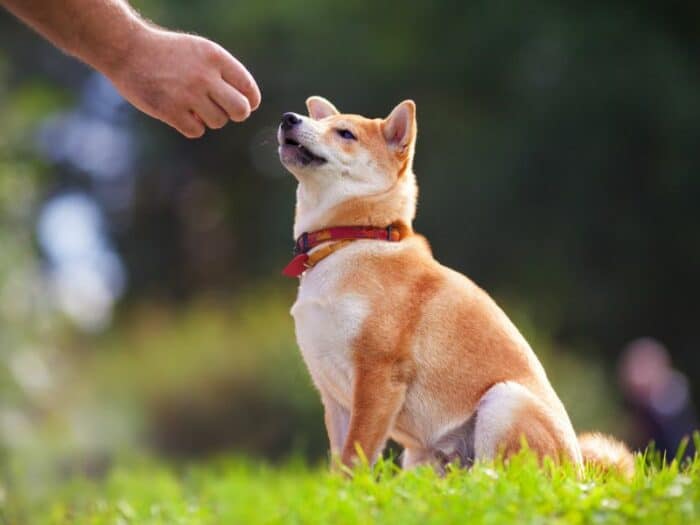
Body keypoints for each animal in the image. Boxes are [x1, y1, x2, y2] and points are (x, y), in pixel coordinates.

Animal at [274, 95, 636, 474]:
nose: (289, 118)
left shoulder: (379, 376)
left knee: (499, 476)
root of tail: (578, 472)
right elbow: (340, 461)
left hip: (503, 400)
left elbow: (356, 455)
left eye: (345, 133)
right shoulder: (333, 395)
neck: (349, 240)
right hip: (422, 456)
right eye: (322, 123)